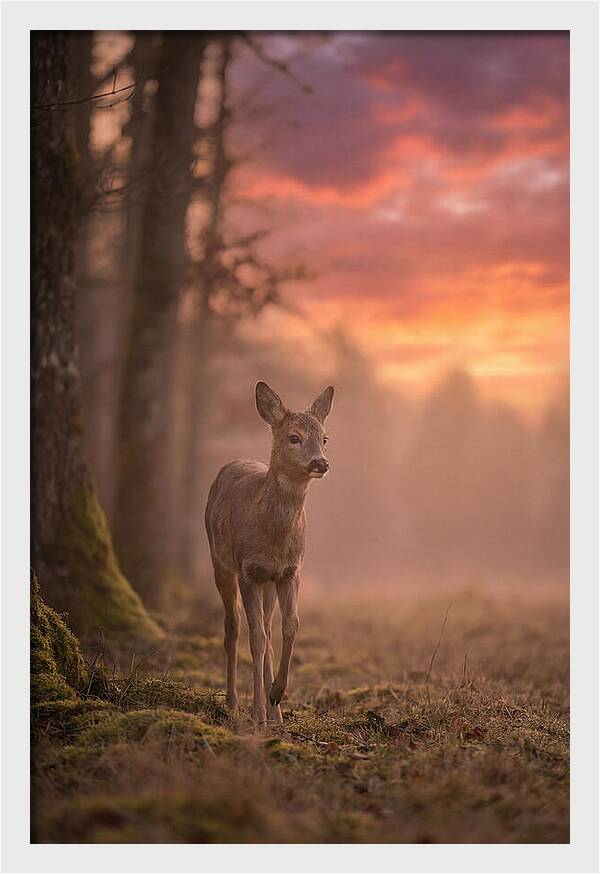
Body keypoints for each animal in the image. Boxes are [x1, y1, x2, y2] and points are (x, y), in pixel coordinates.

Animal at [205, 381, 334, 727]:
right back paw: (234, 702)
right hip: (220, 562)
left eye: (325, 438)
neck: (273, 539)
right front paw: (257, 714)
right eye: (294, 437)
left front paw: (276, 695)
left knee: (266, 626)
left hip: (268, 584)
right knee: (233, 627)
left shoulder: (290, 570)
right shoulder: (248, 569)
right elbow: (257, 639)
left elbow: (291, 626)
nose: (321, 463)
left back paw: (275, 712)